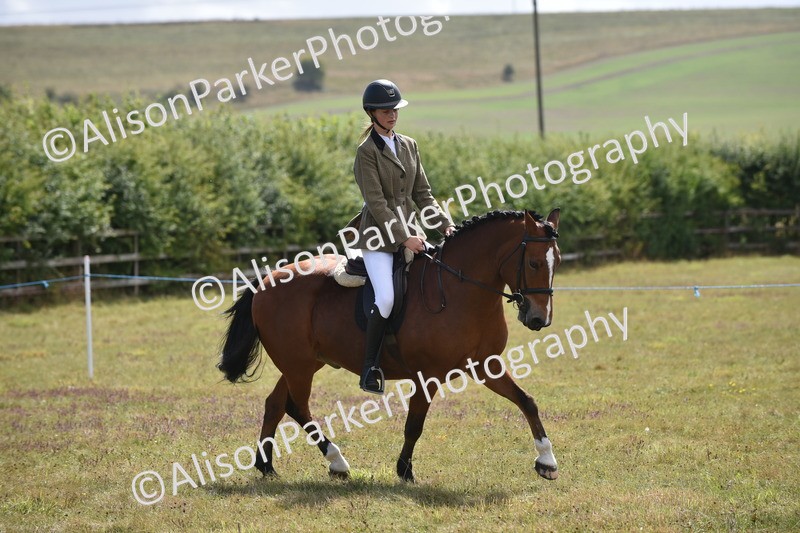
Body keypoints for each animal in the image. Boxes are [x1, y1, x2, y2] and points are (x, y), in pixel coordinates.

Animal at [218, 209, 562, 482]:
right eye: (533, 263)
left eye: (555, 261)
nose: (539, 318)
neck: (459, 290)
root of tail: (266, 281)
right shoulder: (427, 375)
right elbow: (414, 424)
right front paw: (404, 470)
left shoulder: (485, 365)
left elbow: (526, 401)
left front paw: (546, 461)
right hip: (298, 365)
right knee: (297, 407)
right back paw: (337, 462)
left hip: (303, 363)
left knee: (276, 404)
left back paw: (266, 466)